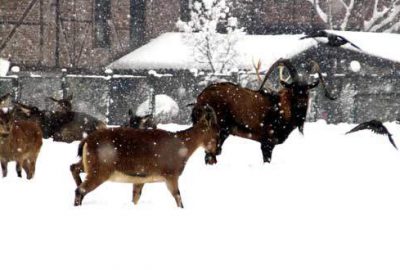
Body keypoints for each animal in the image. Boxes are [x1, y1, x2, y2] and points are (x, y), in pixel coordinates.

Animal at [70, 104, 217, 208]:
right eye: (216, 131)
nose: (215, 152)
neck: (181, 144)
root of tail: (87, 140)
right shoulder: (171, 175)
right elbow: (178, 198)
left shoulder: (140, 179)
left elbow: (135, 198)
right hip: (100, 171)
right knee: (80, 190)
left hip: (88, 165)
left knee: (73, 168)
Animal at [194, 58, 334, 163]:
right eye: (293, 88)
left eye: (307, 90)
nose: (301, 104)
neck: (280, 109)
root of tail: (200, 98)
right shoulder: (267, 142)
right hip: (218, 129)